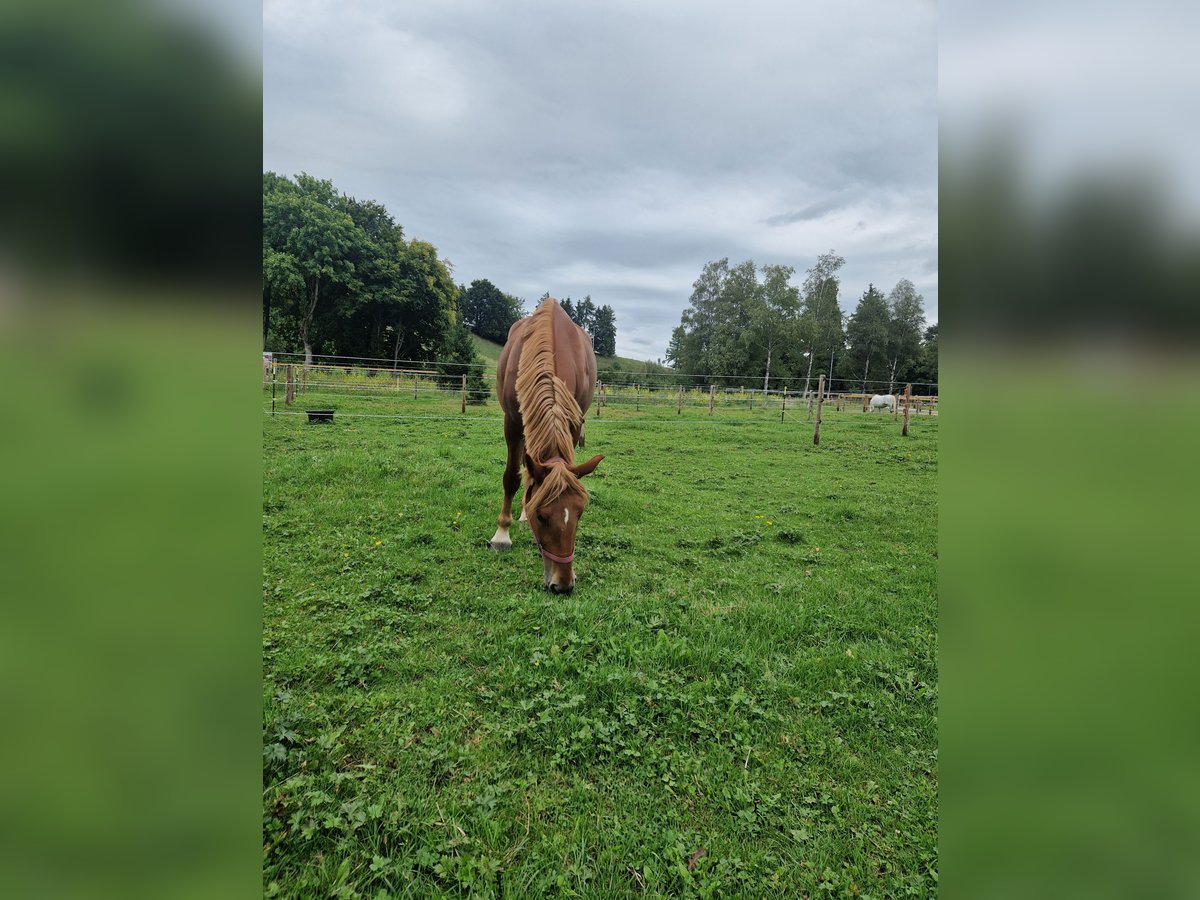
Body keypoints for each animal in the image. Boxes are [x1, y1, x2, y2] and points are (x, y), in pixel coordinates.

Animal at [489, 298, 603, 594]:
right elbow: (511, 477)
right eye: (541, 517)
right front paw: (502, 534)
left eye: (580, 514)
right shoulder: (512, 423)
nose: (562, 584)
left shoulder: (573, 424)